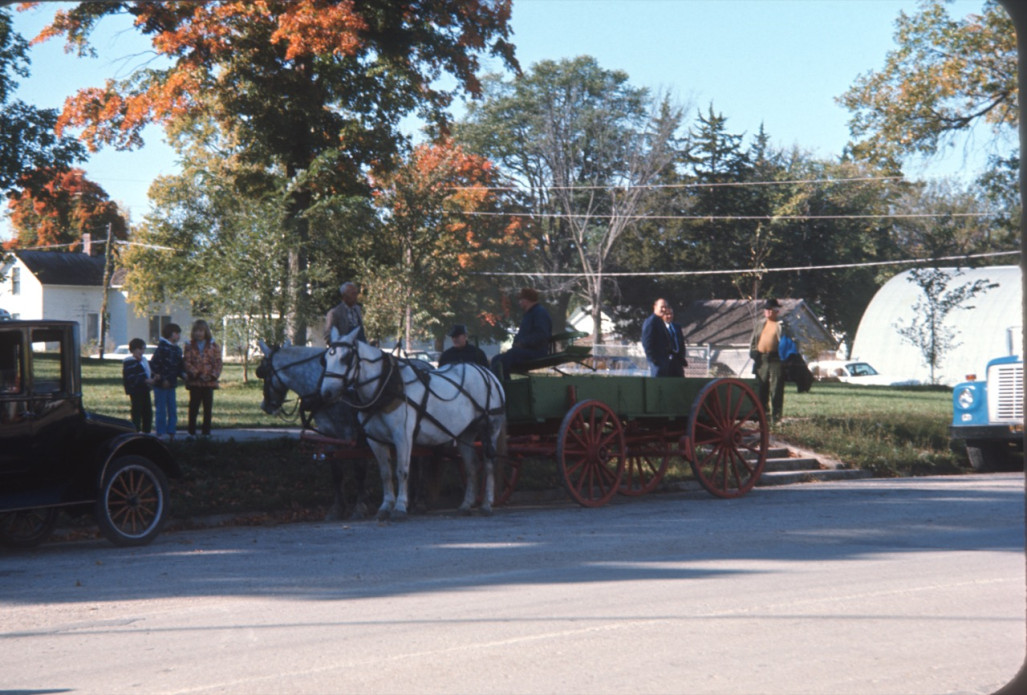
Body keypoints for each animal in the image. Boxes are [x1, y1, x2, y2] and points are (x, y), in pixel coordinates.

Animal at [320, 324, 505, 515]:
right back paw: (466, 504)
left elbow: (402, 471)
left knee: (489, 463)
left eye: (346, 358)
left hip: (490, 428)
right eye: (325, 359)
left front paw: (400, 506)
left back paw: (487, 504)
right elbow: (385, 473)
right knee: (471, 466)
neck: (385, 388)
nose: (326, 393)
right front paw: (386, 506)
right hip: (466, 432)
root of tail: (488, 373)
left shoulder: (403, 436)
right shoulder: (375, 440)